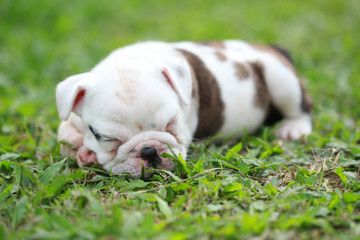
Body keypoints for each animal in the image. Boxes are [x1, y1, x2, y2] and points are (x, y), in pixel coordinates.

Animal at [56, 40, 312, 178]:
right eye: (108, 139)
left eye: (172, 123)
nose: (149, 150)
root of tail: (269, 47)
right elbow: (63, 131)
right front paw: (81, 149)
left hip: (279, 76)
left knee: (302, 105)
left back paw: (294, 127)